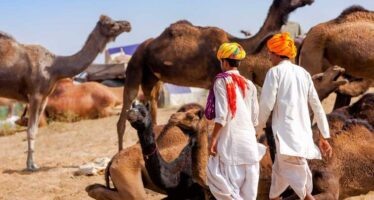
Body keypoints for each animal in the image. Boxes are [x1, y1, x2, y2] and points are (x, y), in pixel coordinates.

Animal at [0, 15, 131, 170]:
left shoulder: (44, 97)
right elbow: (30, 130)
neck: (54, 68)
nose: (128, 24)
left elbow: (35, 129)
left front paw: (32, 163)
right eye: (111, 24)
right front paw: (31, 165)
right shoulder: (35, 95)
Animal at [117, 0, 316, 150]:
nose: (309, 0)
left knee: (152, 106)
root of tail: (140, 49)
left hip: (153, 79)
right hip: (134, 68)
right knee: (123, 115)